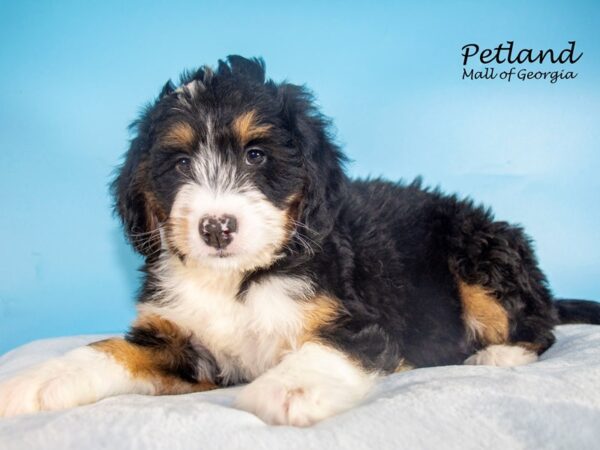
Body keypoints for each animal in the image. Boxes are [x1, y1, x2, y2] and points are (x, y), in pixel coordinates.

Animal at [1, 56, 600, 426]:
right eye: (180, 164)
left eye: (256, 156)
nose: (216, 227)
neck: (237, 280)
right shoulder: (180, 342)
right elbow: (109, 350)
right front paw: (35, 381)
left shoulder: (359, 321)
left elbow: (325, 348)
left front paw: (287, 390)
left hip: (478, 254)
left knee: (539, 324)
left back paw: (498, 355)